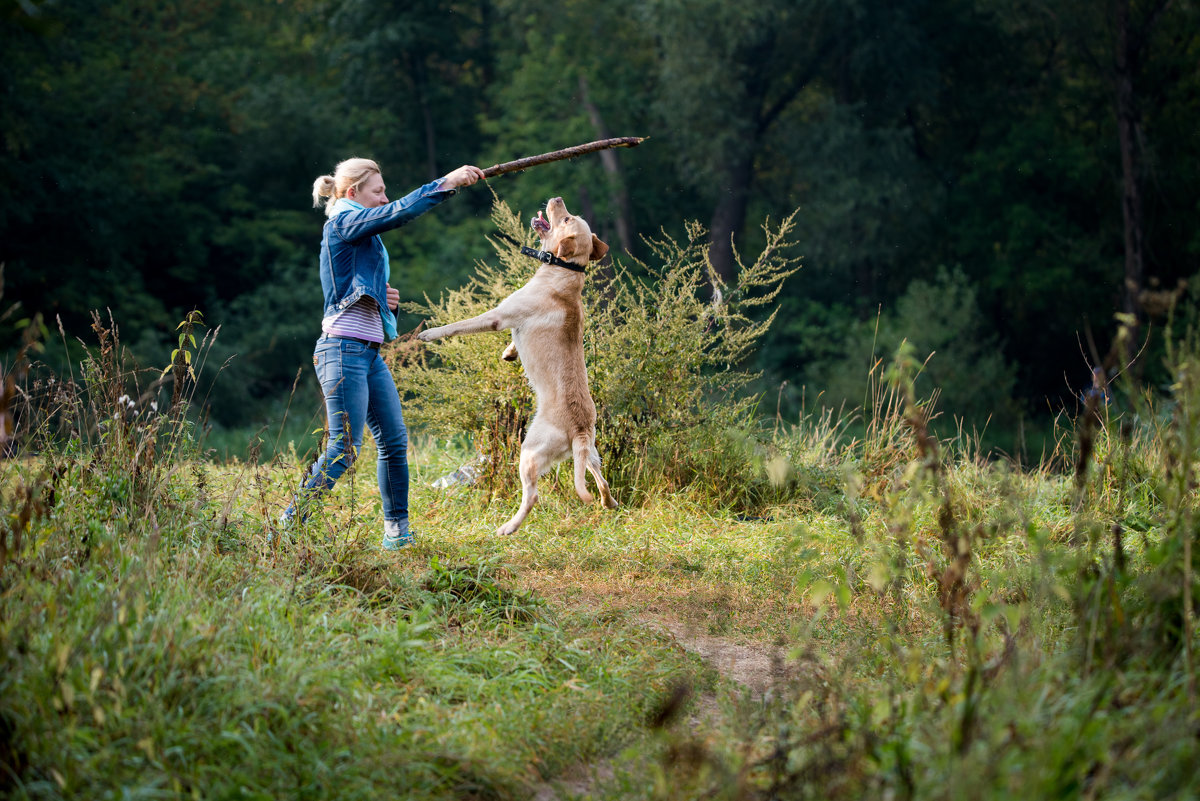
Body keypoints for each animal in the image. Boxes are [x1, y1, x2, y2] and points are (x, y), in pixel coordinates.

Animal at [417, 196, 619, 534]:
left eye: (567, 219)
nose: (557, 199)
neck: (566, 271)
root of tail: (578, 430)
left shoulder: (498, 316)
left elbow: (458, 327)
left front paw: (429, 334)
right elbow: (511, 342)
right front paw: (508, 354)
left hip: (529, 452)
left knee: (532, 495)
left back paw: (508, 527)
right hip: (591, 452)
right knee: (600, 478)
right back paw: (609, 503)